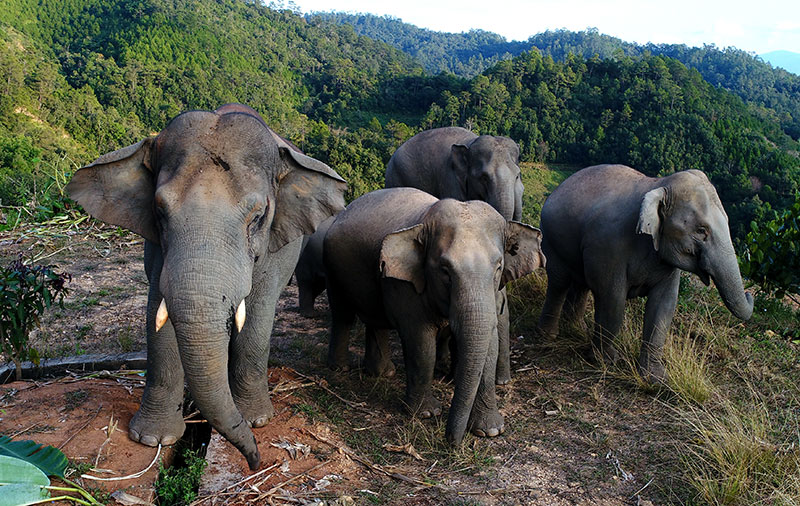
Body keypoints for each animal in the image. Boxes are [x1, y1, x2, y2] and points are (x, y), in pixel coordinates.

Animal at [66, 104, 347, 470]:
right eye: (159, 211)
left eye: (258, 217)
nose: (255, 461)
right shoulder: (157, 247)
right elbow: (158, 310)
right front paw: (153, 439)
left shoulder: (277, 244)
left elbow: (258, 313)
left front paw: (256, 420)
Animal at [323, 188, 544, 444]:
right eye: (445, 270)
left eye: (498, 267)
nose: (452, 441)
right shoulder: (406, 283)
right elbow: (420, 343)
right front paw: (427, 413)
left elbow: (490, 344)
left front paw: (489, 430)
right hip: (332, 268)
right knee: (343, 315)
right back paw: (340, 369)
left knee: (375, 319)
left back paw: (382, 373)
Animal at [385, 127, 524, 385]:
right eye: (483, 178)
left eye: (518, 176)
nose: (503, 381)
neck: (471, 142)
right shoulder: (450, 183)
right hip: (395, 178)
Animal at [536, 164, 753, 382]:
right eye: (701, 230)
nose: (749, 293)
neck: (658, 184)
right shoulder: (607, 246)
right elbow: (612, 298)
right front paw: (605, 360)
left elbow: (664, 305)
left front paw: (656, 378)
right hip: (550, 238)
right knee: (559, 282)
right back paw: (548, 336)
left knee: (581, 285)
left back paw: (577, 329)